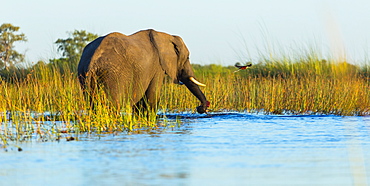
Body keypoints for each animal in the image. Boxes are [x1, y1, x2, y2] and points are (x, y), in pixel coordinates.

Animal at [76, 29, 210, 113]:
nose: (201, 108)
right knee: (113, 105)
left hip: (84, 74)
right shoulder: (158, 66)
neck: (166, 36)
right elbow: (152, 96)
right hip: (112, 75)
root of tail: (93, 61)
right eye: (187, 58)